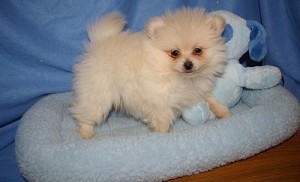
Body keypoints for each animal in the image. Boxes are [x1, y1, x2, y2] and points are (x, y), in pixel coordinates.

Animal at [69, 7, 230, 139]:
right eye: (175, 53)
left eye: (197, 50)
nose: (188, 64)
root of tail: (98, 44)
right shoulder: (160, 101)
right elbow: (163, 120)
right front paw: (161, 135)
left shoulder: (199, 88)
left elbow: (211, 98)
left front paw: (223, 112)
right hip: (99, 93)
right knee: (84, 112)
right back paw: (87, 132)